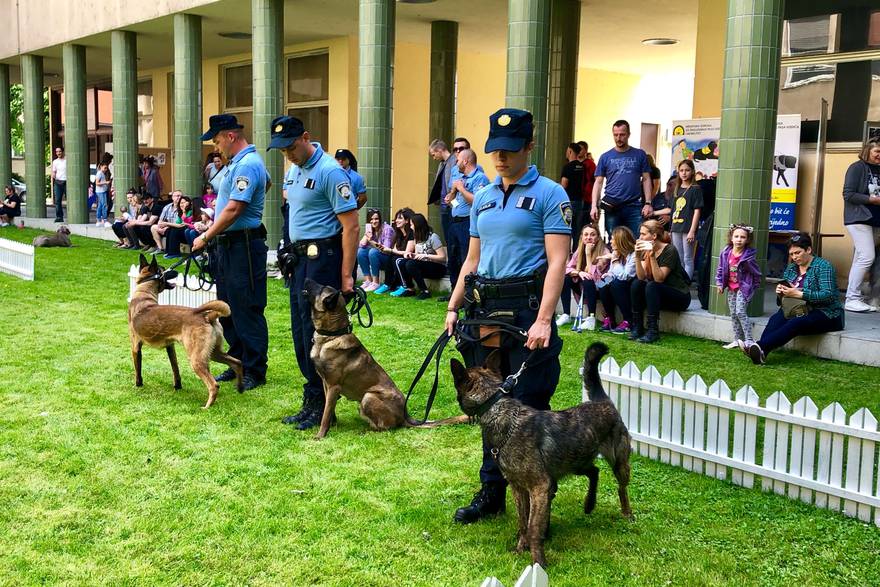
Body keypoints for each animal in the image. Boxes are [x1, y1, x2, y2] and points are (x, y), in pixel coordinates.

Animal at [128, 255, 244, 412]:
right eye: (163, 270)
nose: (176, 272)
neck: (143, 294)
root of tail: (207, 316)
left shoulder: (135, 347)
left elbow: (138, 370)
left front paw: (138, 385)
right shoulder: (170, 347)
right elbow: (175, 369)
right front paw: (177, 387)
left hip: (196, 359)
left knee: (214, 385)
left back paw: (207, 406)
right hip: (213, 353)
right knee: (237, 362)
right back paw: (240, 388)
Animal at [302, 280, 468, 440]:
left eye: (320, 287)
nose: (306, 279)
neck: (331, 336)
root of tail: (405, 416)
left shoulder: (333, 386)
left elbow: (326, 414)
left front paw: (320, 435)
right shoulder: (326, 384)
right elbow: (328, 410)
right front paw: (331, 425)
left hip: (368, 397)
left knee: (385, 428)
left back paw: (365, 432)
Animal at [450, 342, 628, 568]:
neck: (500, 412)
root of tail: (602, 401)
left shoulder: (540, 488)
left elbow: (534, 527)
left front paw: (538, 563)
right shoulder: (518, 488)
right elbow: (523, 522)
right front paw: (520, 550)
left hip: (618, 462)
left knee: (622, 489)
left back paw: (627, 514)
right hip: (576, 463)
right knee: (594, 471)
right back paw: (589, 504)